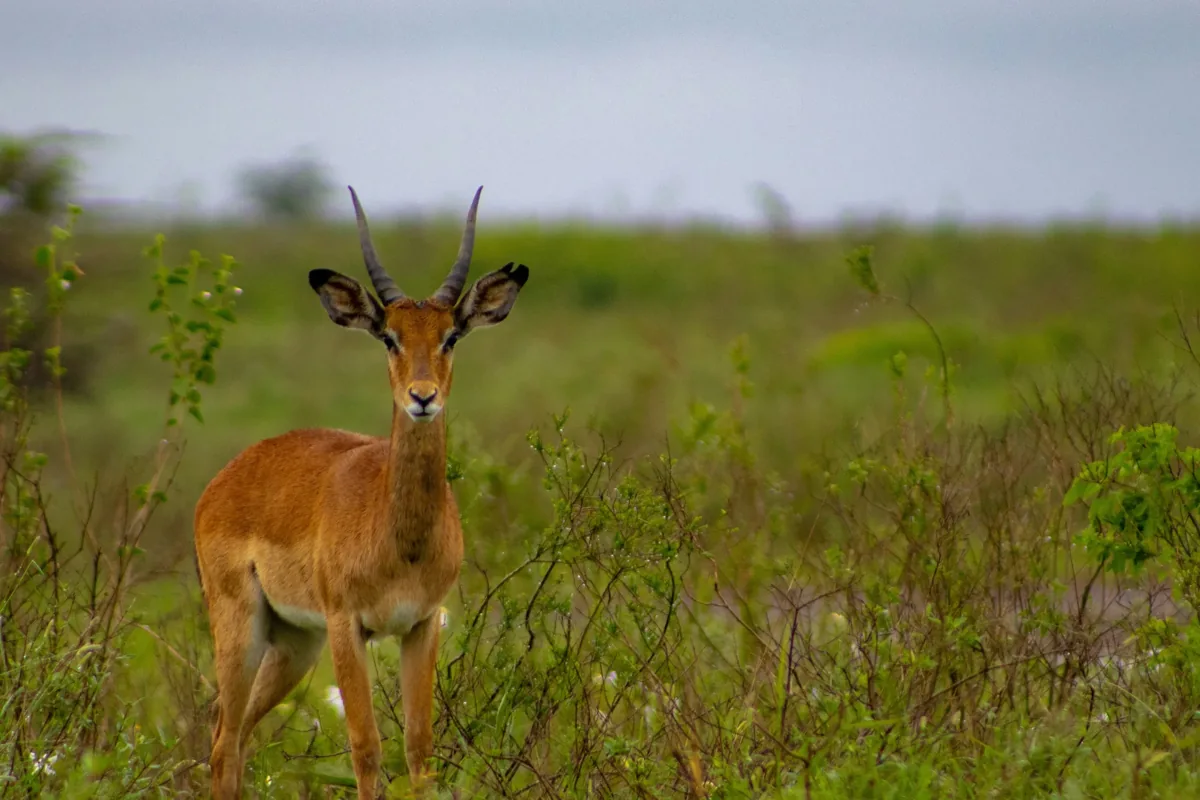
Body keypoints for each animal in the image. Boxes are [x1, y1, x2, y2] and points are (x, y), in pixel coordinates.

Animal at [194, 185, 529, 799]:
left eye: (450, 336)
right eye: (389, 337)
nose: (423, 397)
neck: (400, 539)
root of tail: (225, 477)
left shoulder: (422, 624)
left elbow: (419, 749)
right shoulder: (348, 626)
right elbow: (366, 748)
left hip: (295, 643)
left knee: (232, 731)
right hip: (242, 627)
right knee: (224, 741)